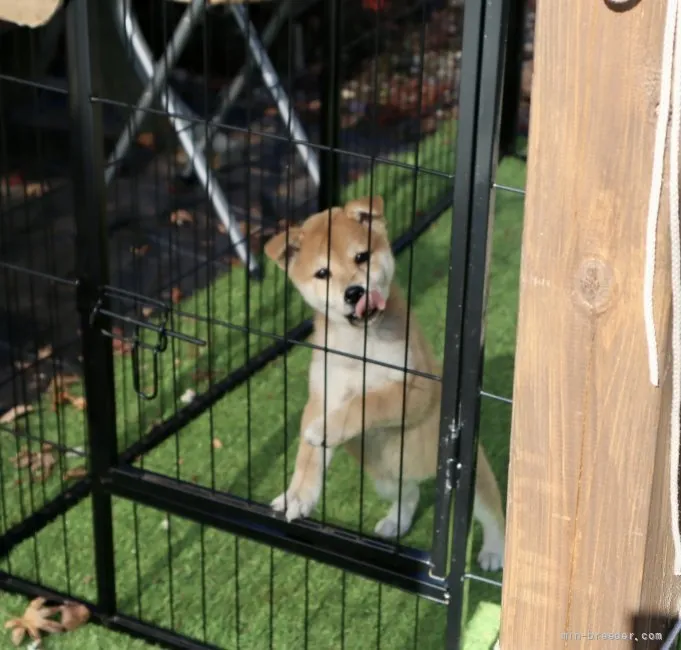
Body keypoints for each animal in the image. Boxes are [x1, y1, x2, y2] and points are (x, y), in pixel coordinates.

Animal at [264, 196, 504, 568]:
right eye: (322, 273)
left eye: (361, 257)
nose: (354, 293)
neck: (359, 347)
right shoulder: (323, 396)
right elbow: (308, 458)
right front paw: (297, 496)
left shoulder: (415, 390)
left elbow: (368, 401)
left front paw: (328, 429)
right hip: (386, 478)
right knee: (410, 492)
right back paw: (396, 521)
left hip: (470, 480)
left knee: (493, 511)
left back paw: (494, 550)